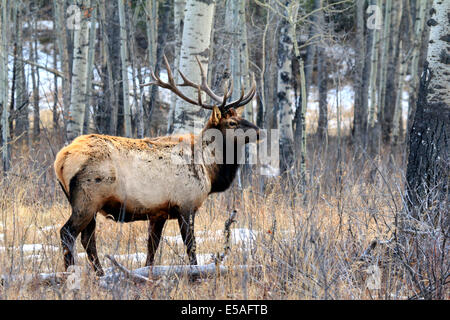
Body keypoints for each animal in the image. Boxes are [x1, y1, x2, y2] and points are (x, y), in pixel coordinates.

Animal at [54, 56, 260, 276]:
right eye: (232, 123)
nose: (259, 131)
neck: (210, 170)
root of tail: (60, 160)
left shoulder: (158, 212)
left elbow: (151, 249)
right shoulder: (186, 204)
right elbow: (191, 246)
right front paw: (195, 273)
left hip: (87, 203)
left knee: (87, 238)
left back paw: (100, 274)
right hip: (88, 199)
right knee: (68, 233)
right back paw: (72, 273)